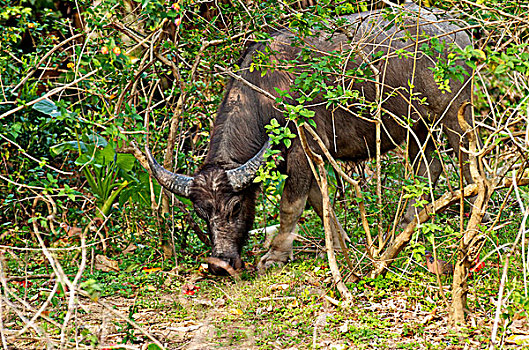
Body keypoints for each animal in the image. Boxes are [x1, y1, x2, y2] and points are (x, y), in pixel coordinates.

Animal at [145, 4, 474, 274]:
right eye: (201, 212)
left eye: (236, 207)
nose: (220, 264)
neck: (263, 94)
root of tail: (457, 33)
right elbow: (319, 201)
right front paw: (339, 243)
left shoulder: (304, 148)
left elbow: (291, 204)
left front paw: (275, 256)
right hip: (419, 125)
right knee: (427, 166)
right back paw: (408, 223)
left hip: (454, 111)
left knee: (466, 155)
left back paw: (471, 213)